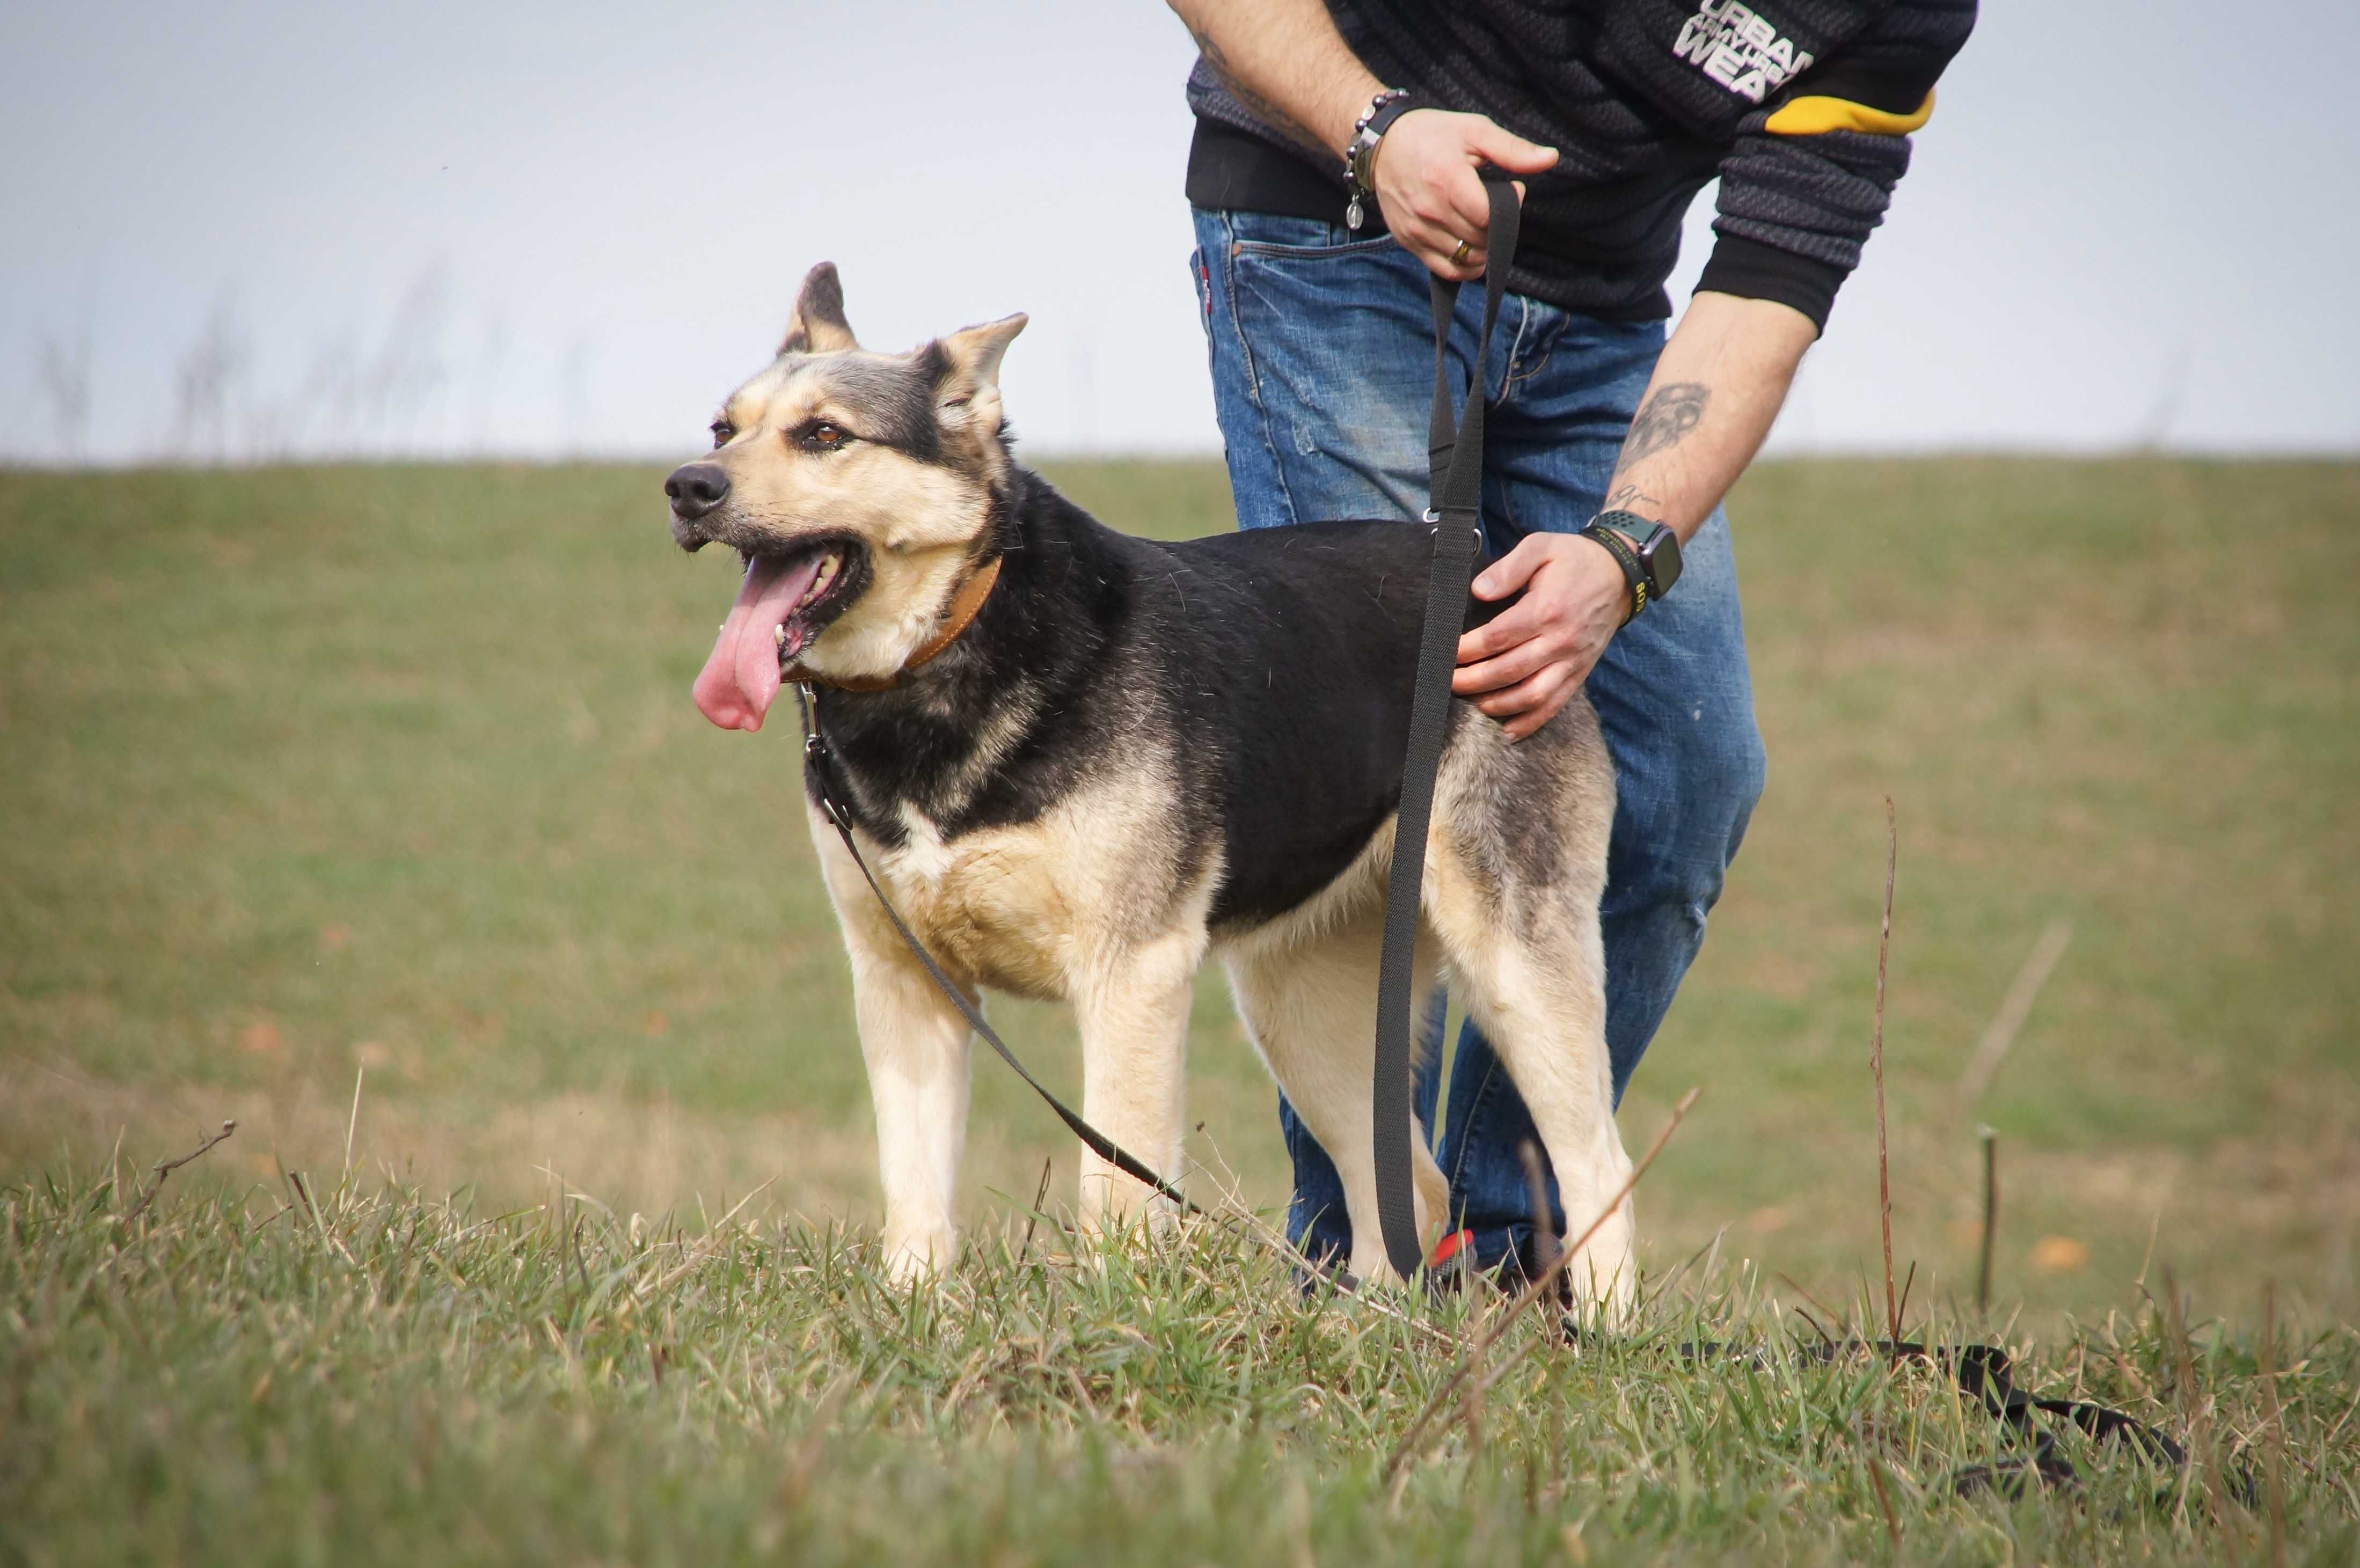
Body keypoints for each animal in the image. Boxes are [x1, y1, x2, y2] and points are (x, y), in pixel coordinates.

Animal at [656, 262, 1633, 1301]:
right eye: (722, 429)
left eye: (825, 435)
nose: (686, 486)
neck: (955, 638)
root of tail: (1483, 571)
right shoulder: (903, 982)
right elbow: (913, 1190)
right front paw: (914, 1308)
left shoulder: (1130, 973)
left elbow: (1115, 1189)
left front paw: (1110, 1317)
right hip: (1302, 1006)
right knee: (1405, 1181)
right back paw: (1369, 1325)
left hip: (1512, 959)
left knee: (1594, 1167)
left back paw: (1608, 1329)